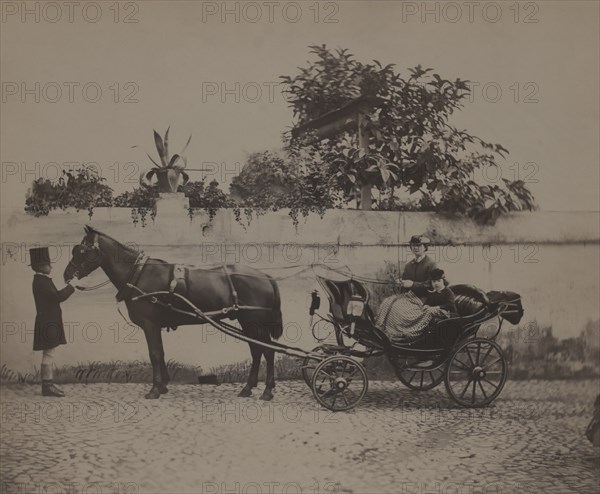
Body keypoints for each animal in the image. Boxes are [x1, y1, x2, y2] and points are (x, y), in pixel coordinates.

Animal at [64, 226, 284, 400]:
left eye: (82, 250)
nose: (66, 275)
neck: (139, 274)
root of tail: (265, 276)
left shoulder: (150, 324)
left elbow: (154, 354)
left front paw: (154, 389)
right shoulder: (155, 325)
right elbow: (160, 353)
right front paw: (163, 386)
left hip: (254, 323)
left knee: (267, 350)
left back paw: (266, 391)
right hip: (249, 323)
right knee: (257, 350)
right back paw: (248, 388)